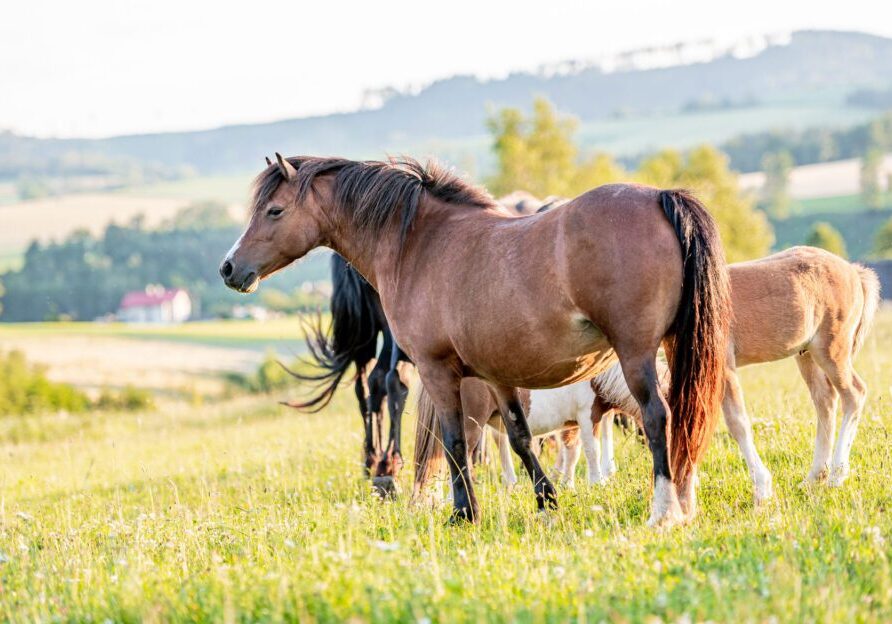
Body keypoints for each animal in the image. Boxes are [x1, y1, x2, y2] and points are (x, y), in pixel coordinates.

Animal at [559, 247, 879, 502]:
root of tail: (854, 271)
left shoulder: (724, 368)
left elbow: (737, 423)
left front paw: (761, 488)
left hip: (831, 351)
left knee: (855, 395)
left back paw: (837, 476)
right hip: (806, 355)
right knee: (826, 402)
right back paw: (815, 477)